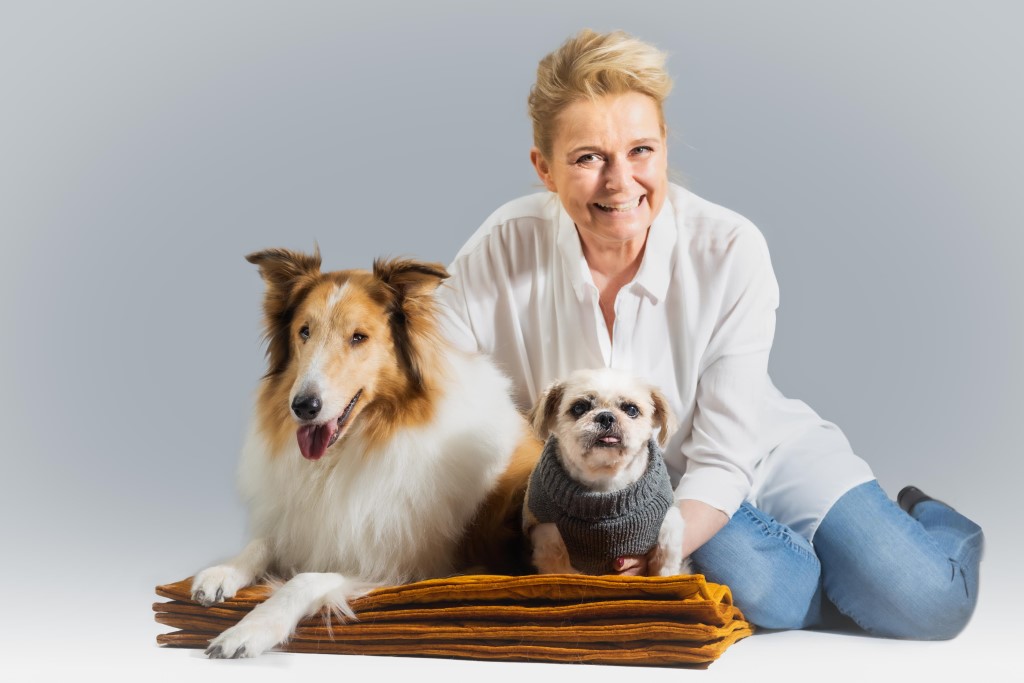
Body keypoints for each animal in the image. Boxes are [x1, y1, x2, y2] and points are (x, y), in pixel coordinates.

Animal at [520, 368, 688, 577]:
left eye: (631, 409)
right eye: (579, 408)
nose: (606, 416)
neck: (606, 484)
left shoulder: (668, 527)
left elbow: (665, 568)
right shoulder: (549, 539)